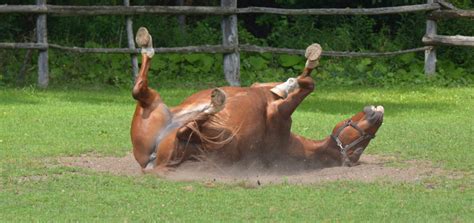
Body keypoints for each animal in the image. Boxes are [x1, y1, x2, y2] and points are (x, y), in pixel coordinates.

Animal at [131, 27, 386, 173]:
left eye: (361, 147)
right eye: (364, 141)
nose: (378, 116)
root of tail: (150, 162)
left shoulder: (278, 115)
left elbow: (307, 85)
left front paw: (295, 79)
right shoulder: (264, 94)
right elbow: (298, 82)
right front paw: (298, 73)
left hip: (214, 136)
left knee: (184, 125)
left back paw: (215, 103)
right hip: (156, 107)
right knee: (140, 90)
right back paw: (146, 42)